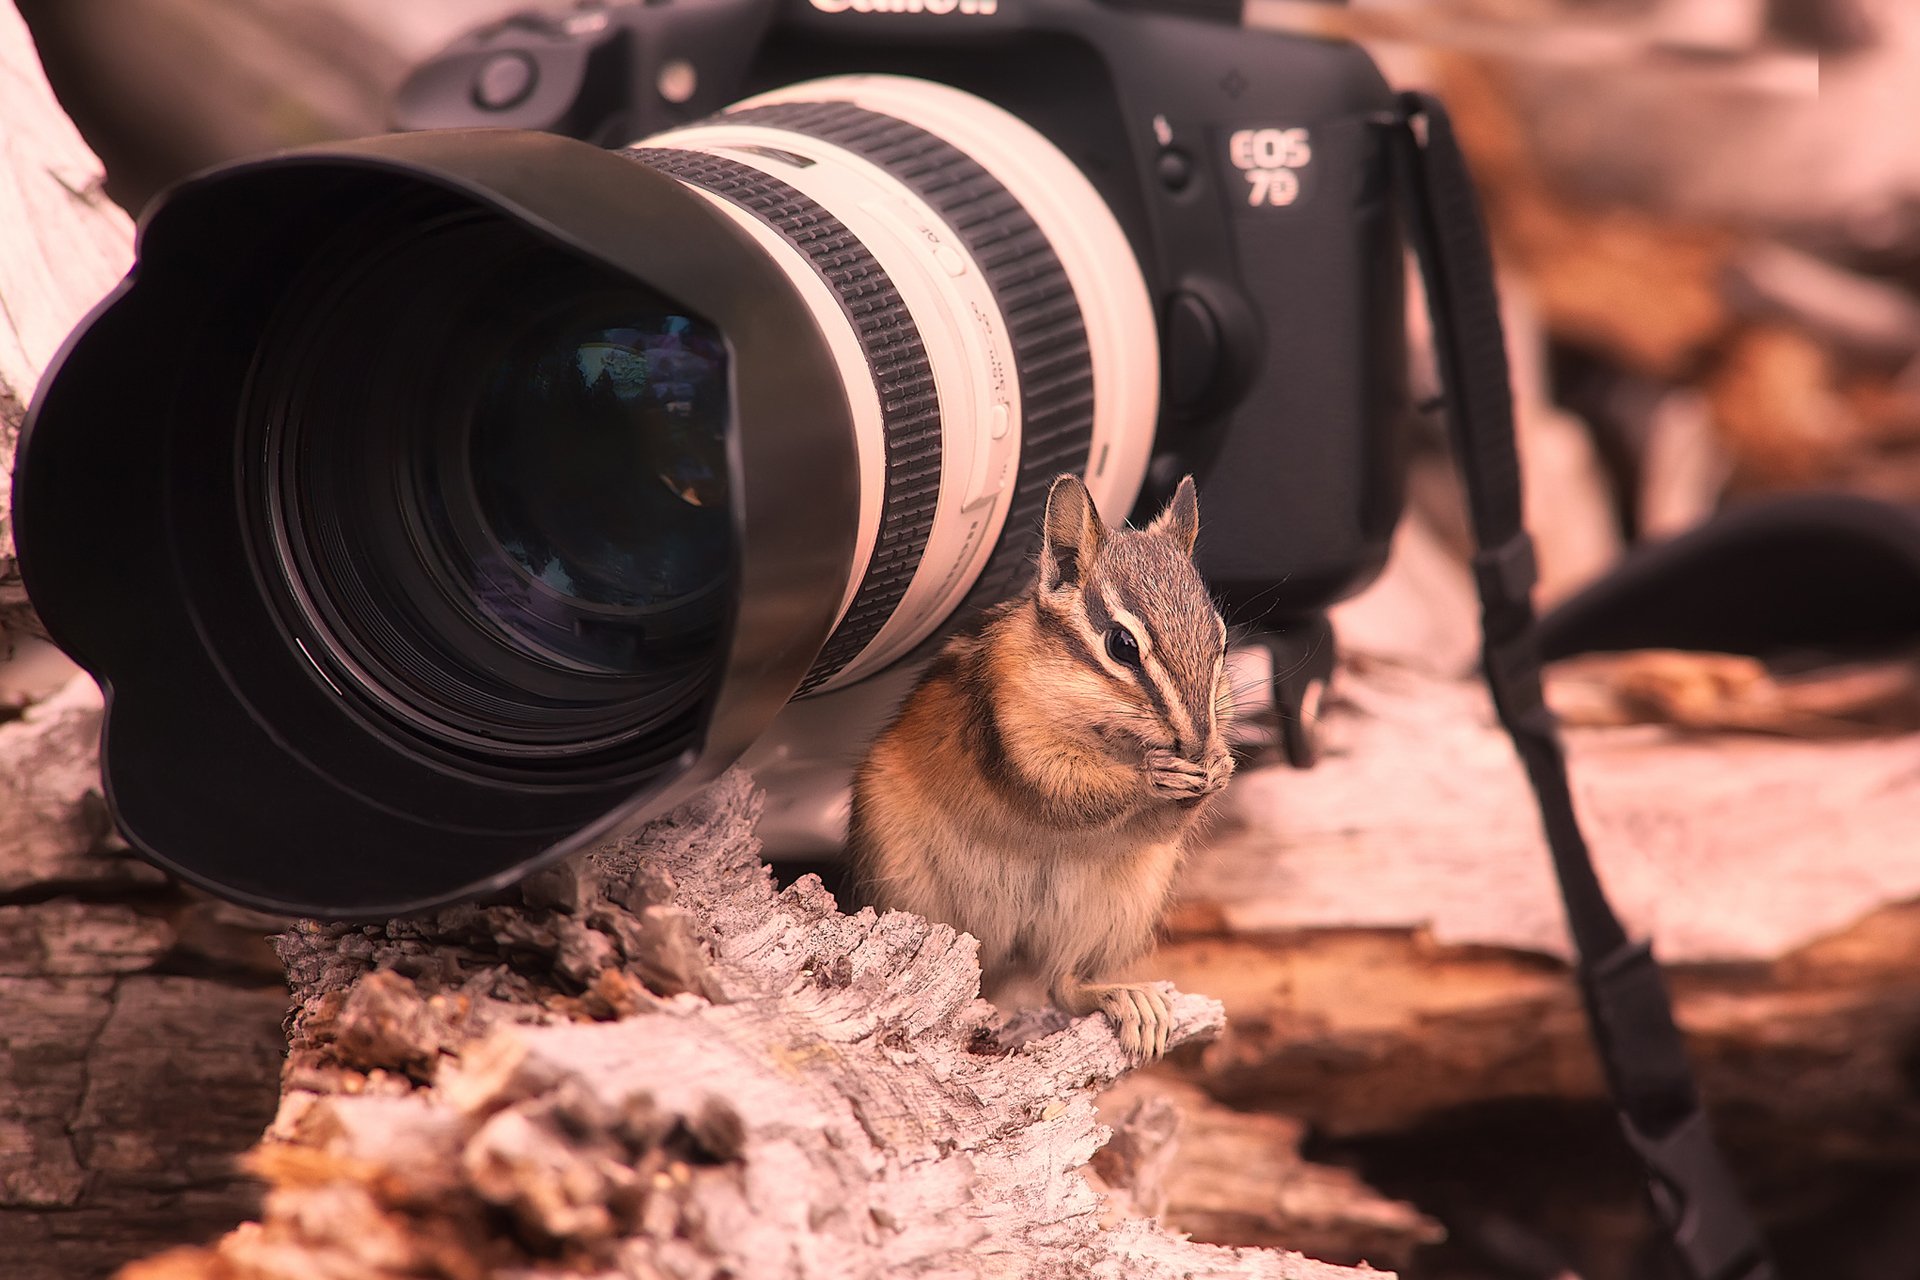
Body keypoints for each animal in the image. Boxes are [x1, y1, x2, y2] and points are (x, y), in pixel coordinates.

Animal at [846, 472, 1233, 1062]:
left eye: (1222, 639)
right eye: (1122, 645)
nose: (1196, 743)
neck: (1111, 737)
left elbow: (1161, 824)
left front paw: (1219, 768)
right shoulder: (1012, 733)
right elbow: (1060, 793)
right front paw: (1152, 776)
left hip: (1116, 905)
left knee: (1063, 984)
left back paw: (1128, 999)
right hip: (909, 889)